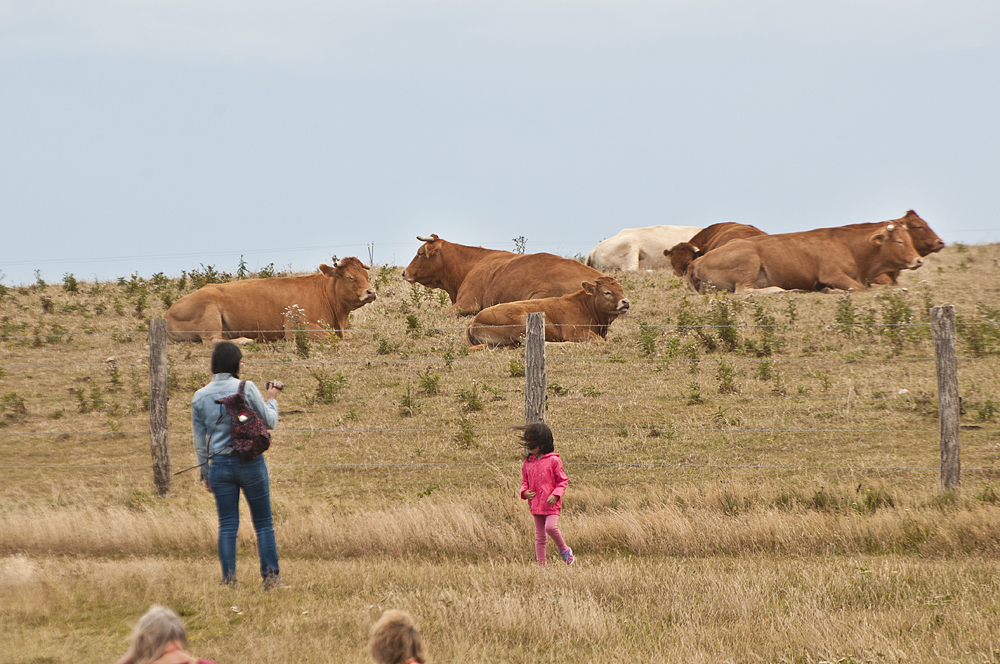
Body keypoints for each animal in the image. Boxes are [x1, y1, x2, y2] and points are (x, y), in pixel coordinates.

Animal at [166, 258, 376, 344]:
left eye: (366, 275)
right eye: (350, 277)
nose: (371, 292)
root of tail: (168, 312)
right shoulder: (294, 327)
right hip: (209, 312)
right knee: (213, 340)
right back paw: (245, 340)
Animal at [464, 276, 628, 350]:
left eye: (621, 290)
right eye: (607, 292)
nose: (625, 302)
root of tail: (474, 321)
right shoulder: (575, 331)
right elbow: (599, 341)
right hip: (520, 324)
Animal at [688, 223, 920, 294]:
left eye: (910, 239)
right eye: (899, 241)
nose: (919, 260)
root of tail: (697, 260)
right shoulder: (832, 274)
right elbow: (860, 288)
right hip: (749, 260)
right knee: (745, 291)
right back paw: (781, 290)